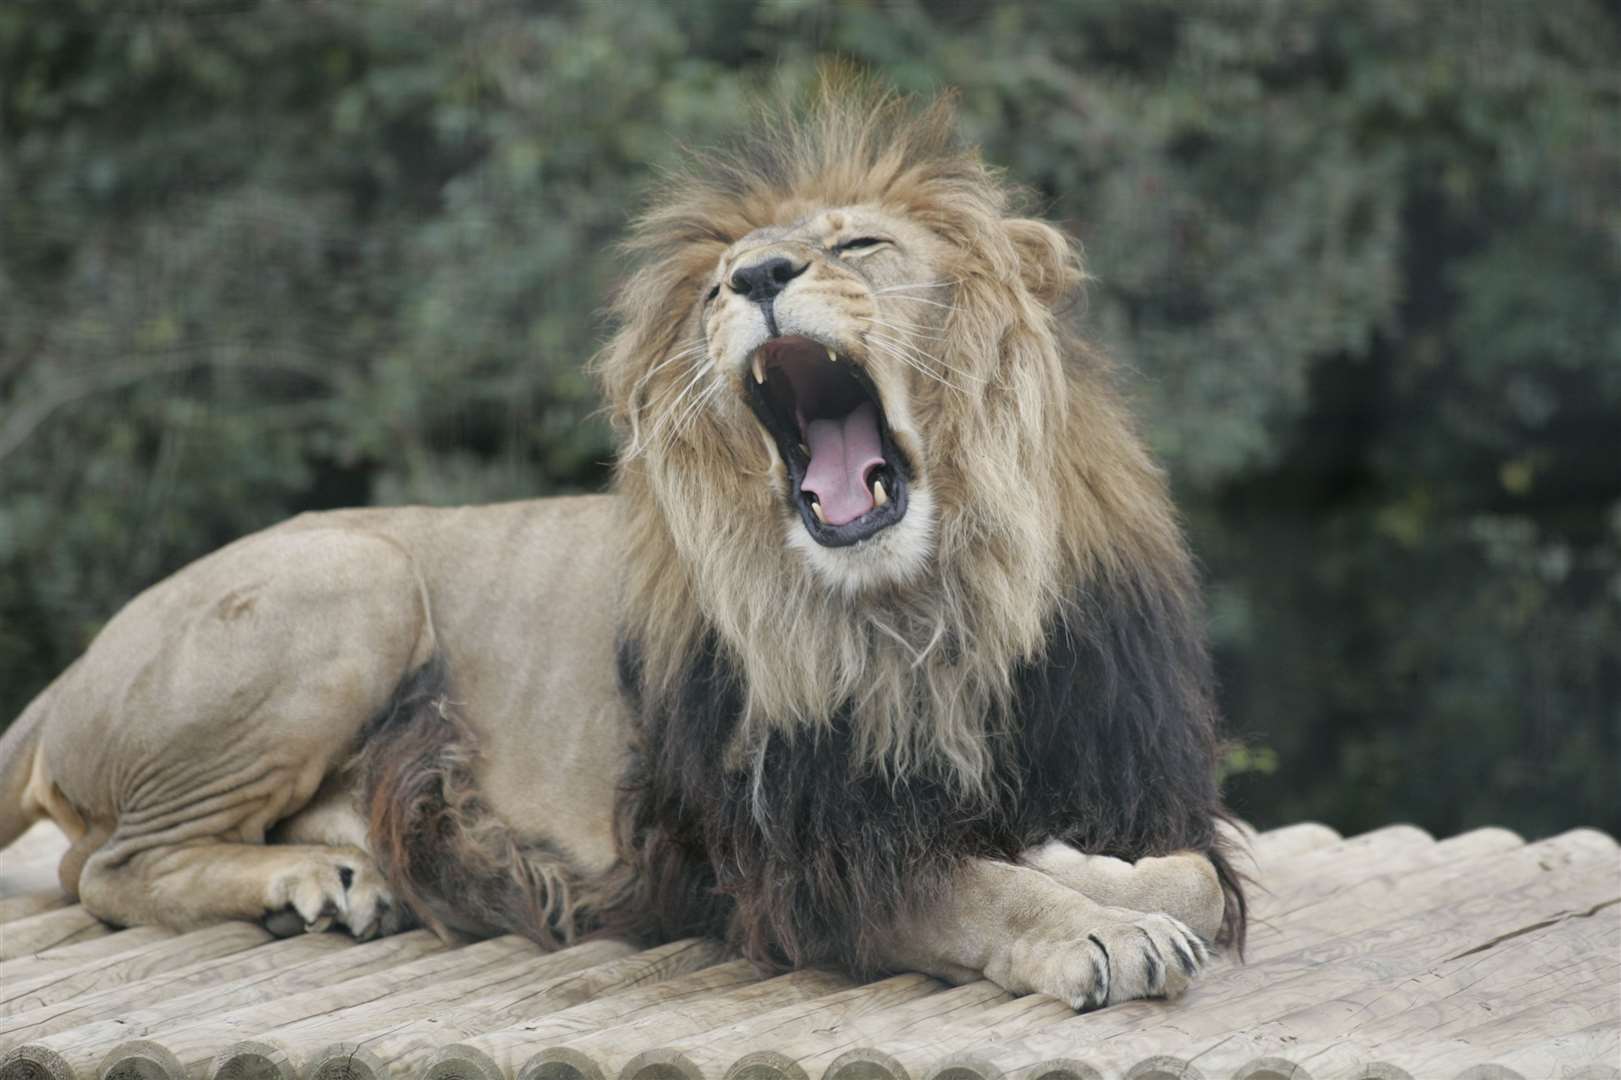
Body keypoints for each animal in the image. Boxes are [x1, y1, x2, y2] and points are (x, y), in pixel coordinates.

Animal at [0, 77, 1238, 1011]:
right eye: (716, 288)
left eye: (860, 243)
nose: (757, 276)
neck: (926, 611)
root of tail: (74, 668)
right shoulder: (784, 862)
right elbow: (979, 889)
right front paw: (1093, 927)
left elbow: (1192, 877)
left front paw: (1096, 873)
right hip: (356, 576)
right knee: (101, 867)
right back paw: (316, 881)